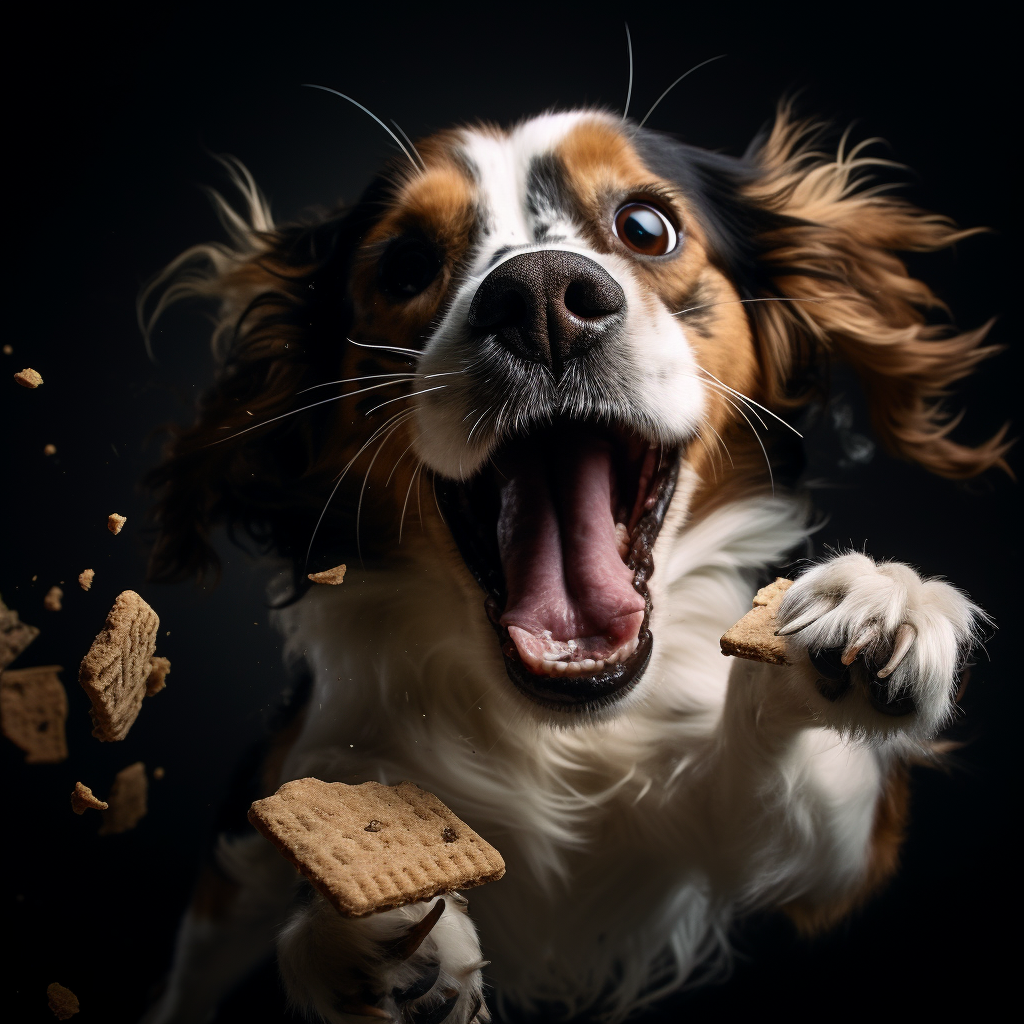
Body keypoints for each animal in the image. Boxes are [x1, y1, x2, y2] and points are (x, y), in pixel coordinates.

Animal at [138, 99, 1007, 1019]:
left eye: (646, 226)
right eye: (406, 263)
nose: (542, 295)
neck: (563, 738)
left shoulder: (808, 862)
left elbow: (793, 786)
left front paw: (878, 604)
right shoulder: (285, 792)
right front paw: (357, 935)